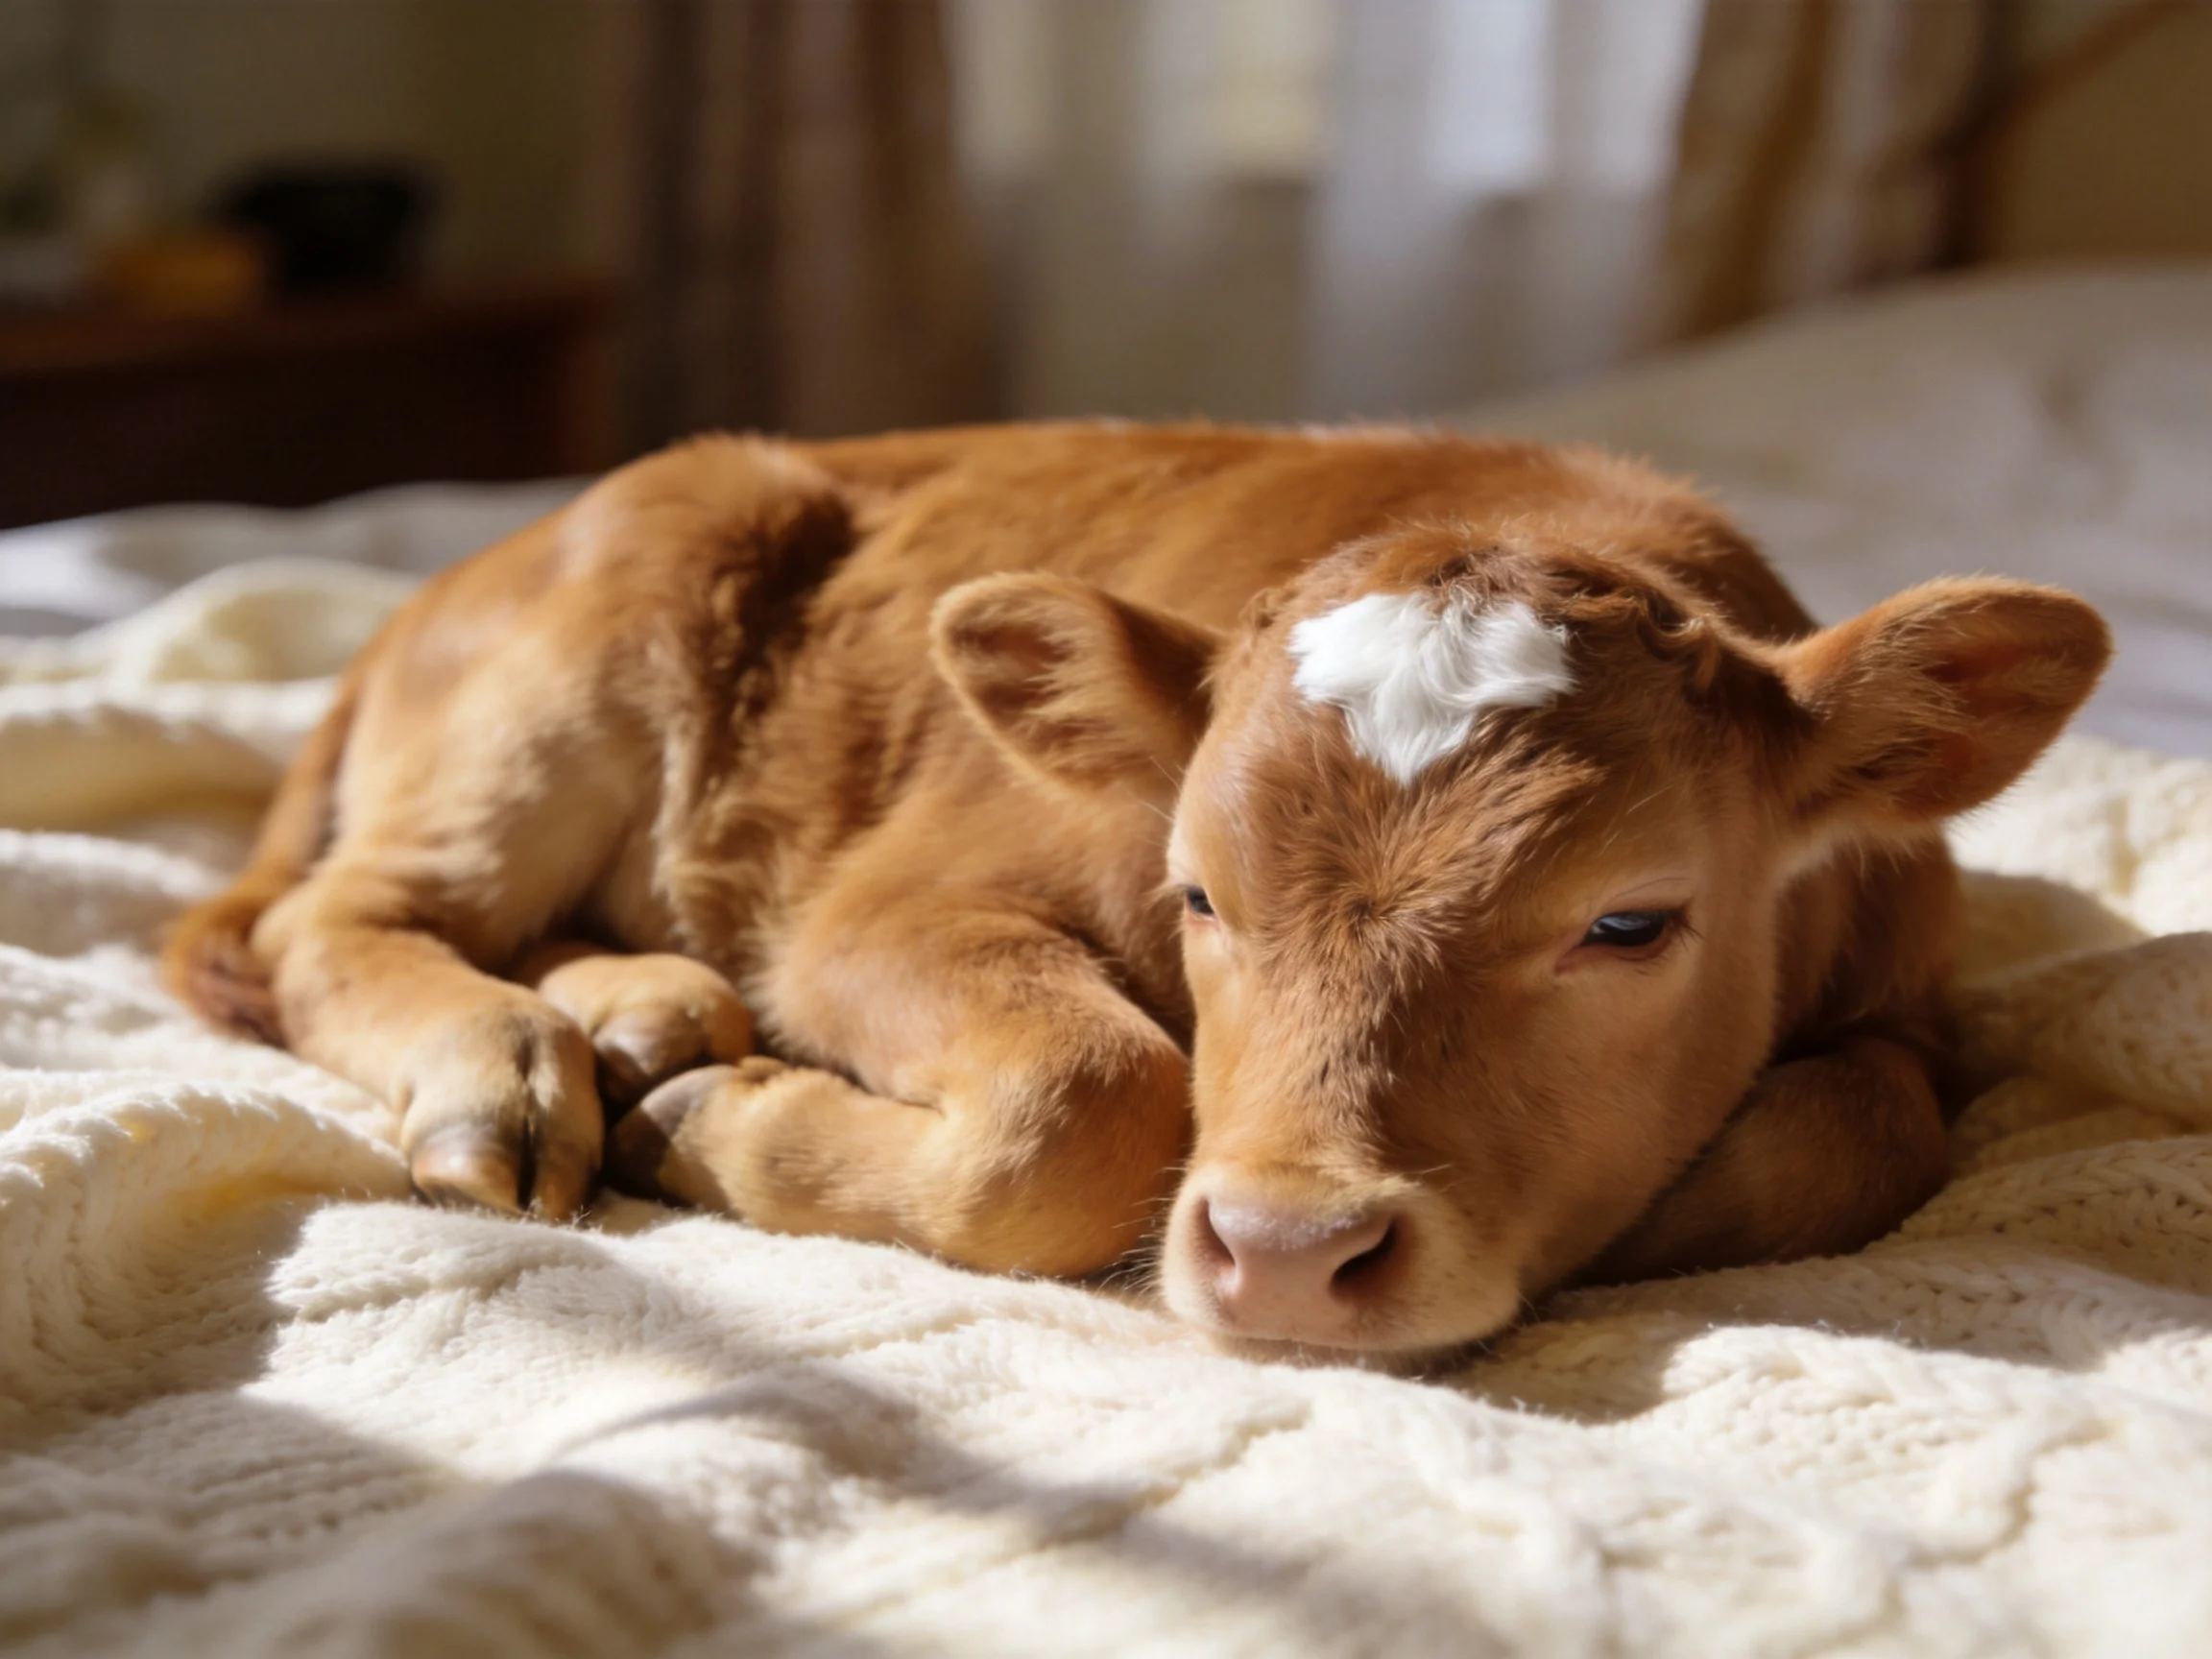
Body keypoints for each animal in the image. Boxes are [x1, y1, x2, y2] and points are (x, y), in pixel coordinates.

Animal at [164, 424, 2110, 1364]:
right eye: (1196, 897)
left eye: (1629, 920)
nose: (1288, 1250)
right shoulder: (873, 908)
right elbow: (1095, 1093)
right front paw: (726, 1119)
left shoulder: (1913, 1007)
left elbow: (1862, 1124)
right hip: (581, 656)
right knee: (341, 920)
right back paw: (517, 1072)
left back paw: (635, 1006)